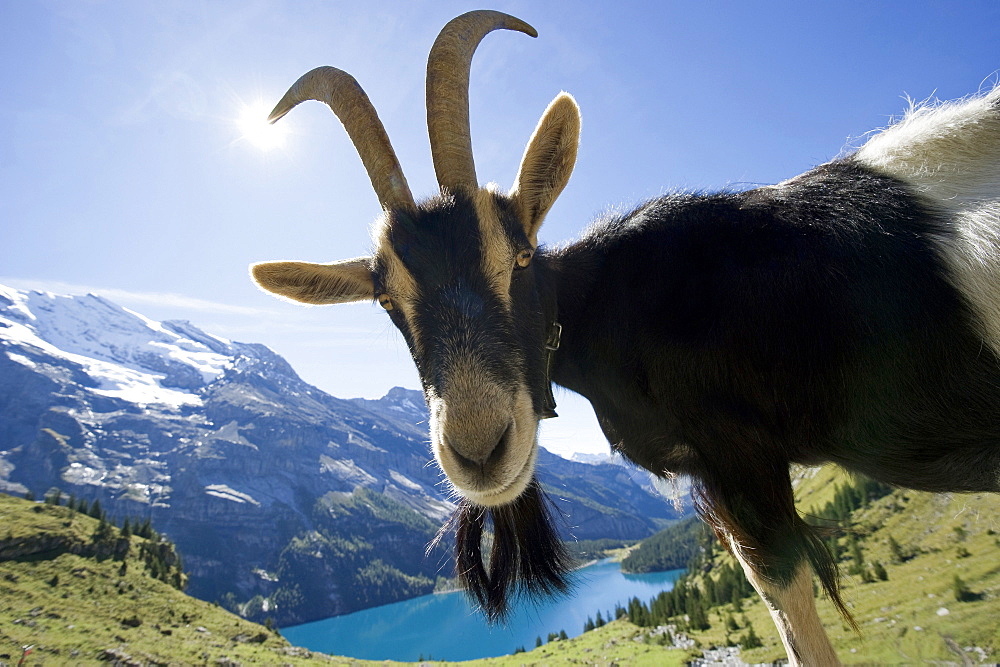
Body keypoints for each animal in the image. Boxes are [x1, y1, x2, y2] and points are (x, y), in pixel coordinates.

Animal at [252, 9, 1000, 664]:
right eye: (386, 298)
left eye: (520, 255)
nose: (479, 449)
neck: (621, 300)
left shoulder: (739, 452)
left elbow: (784, 597)